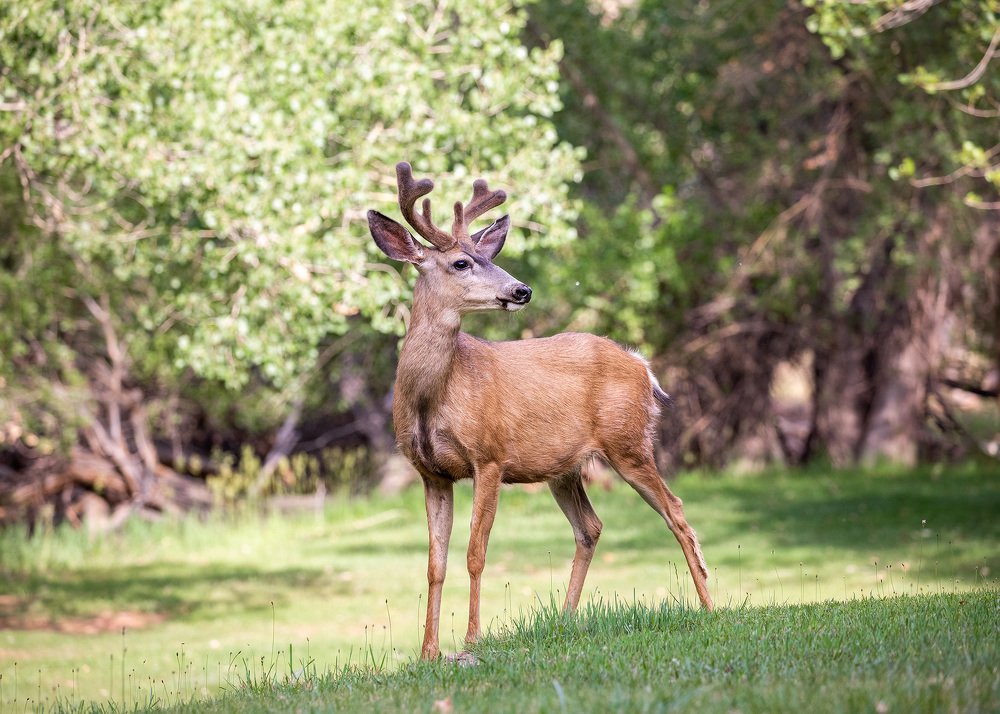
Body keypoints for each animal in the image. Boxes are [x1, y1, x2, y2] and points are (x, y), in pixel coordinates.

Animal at [367, 162, 714, 661]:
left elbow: (475, 553)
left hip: (628, 441)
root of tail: (641, 364)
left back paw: (708, 606)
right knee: (590, 527)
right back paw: (565, 619)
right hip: (563, 467)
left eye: (488, 255)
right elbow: (435, 563)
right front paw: (429, 651)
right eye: (462, 262)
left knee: (676, 510)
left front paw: (472, 639)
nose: (521, 289)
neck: (433, 397)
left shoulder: (489, 456)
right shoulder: (431, 473)